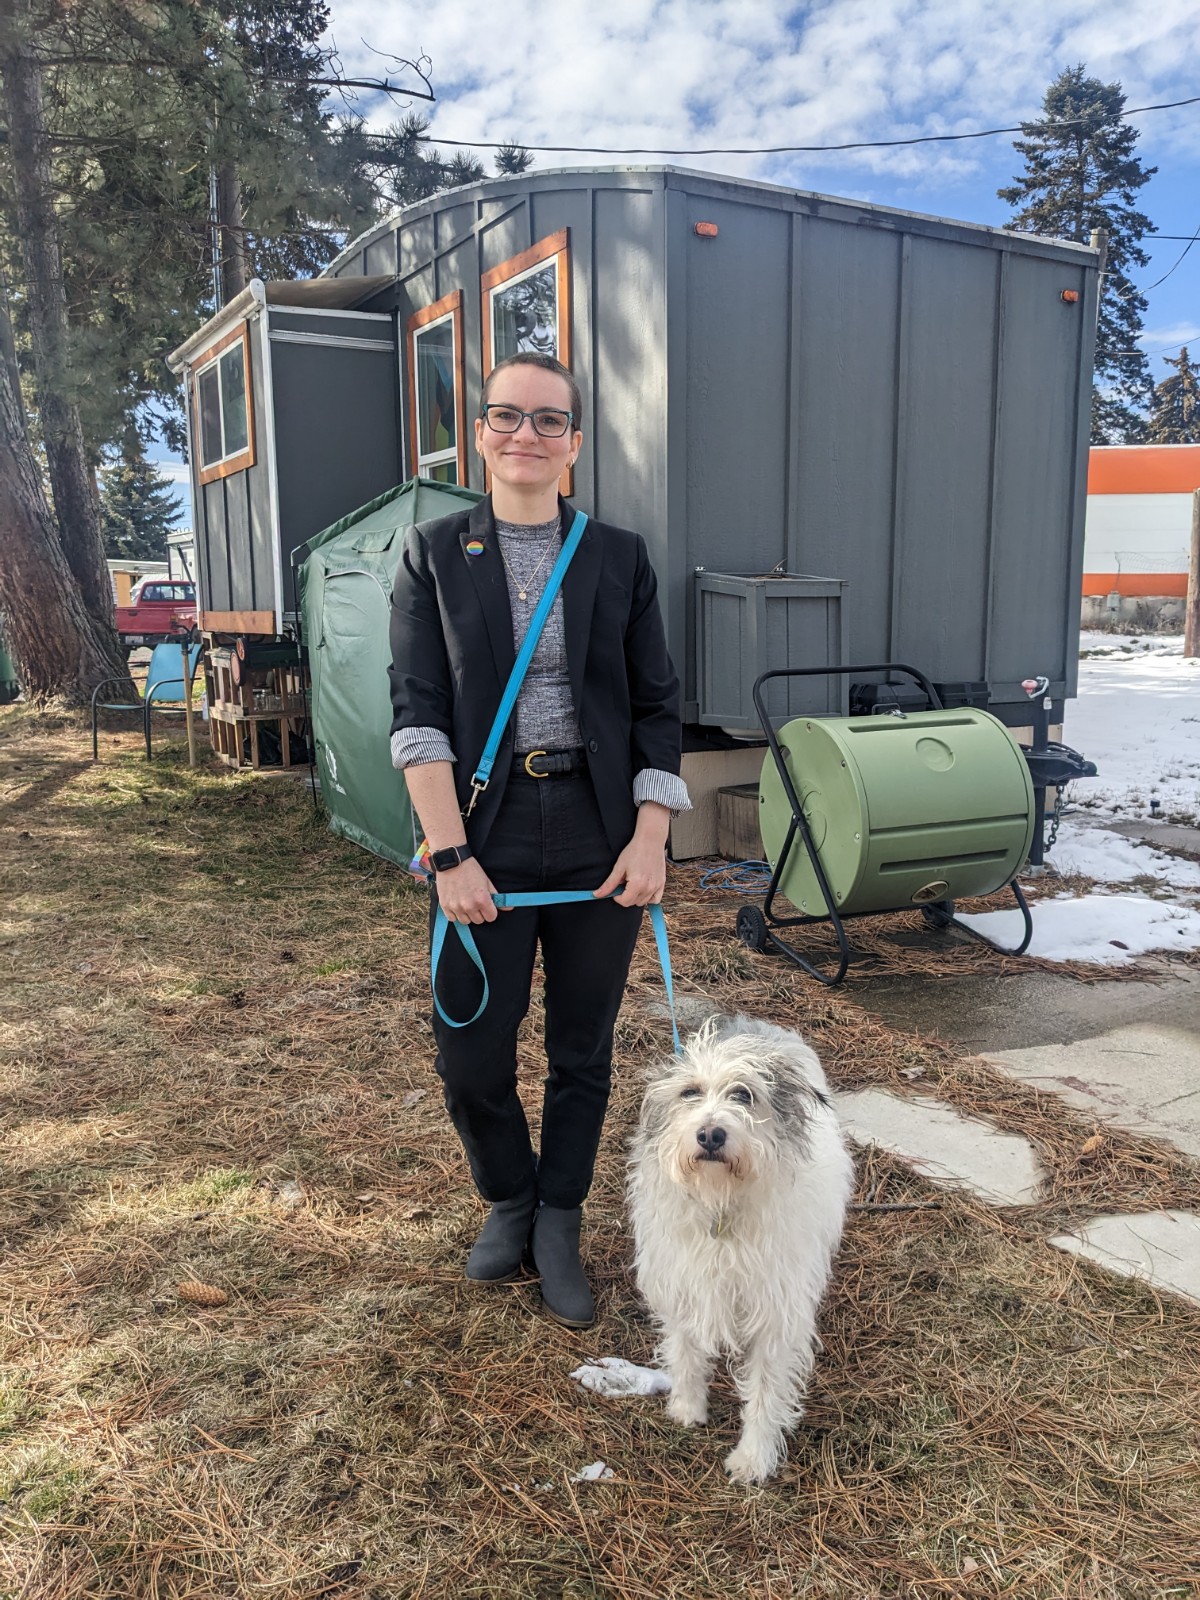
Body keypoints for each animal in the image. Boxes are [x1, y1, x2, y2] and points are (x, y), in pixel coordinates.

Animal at [630, 1017, 857, 1478]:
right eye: (690, 1092)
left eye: (744, 1095)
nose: (710, 1134)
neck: (721, 1202)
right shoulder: (681, 1282)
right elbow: (684, 1350)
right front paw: (687, 1406)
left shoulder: (775, 1314)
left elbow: (767, 1390)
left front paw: (754, 1456)